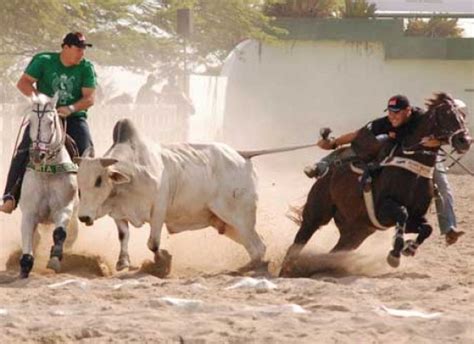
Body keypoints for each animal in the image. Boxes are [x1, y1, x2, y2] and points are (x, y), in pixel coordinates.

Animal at [18, 94, 78, 280]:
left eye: (50, 122)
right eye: (30, 121)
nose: (38, 155)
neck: (47, 173)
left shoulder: (64, 208)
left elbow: (59, 233)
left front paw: (54, 259)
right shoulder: (29, 211)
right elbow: (27, 235)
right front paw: (25, 265)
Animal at [77, 119, 314, 272]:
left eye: (99, 180)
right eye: (78, 184)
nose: (83, 217)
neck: (133, 174)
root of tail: (241, 154)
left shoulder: (158, 209)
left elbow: (153, 243)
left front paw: (161, 263)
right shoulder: (118, 213)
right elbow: (123, 236)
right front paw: (123, 262)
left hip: (239, 217)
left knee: (258, 246)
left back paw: (248, 269)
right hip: (228, 225)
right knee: (258, 246)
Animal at [282, 93, 470, 274]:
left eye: (463, 116)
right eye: (445, 115)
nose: (465, 140)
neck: (412, 172)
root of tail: (329, 173)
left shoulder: (414, 218)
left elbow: (427, 228)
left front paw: (409, 248)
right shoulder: (383, 210)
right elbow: (402, 213)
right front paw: (395, 254)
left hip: (356, 232)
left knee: (334, 251)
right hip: (316, 213)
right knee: (298, 243)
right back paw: (286, 269)